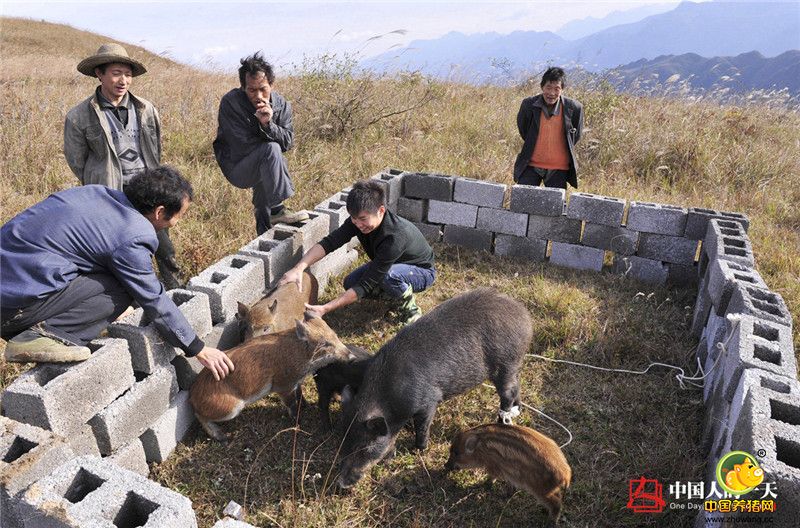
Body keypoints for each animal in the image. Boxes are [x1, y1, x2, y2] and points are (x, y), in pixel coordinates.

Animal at [191, 314, 354, 442]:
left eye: (335, 335)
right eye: (325, 344)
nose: (352, 357)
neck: (301, 355)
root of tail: (193, 397)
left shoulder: (296, 382)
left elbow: (300, 394)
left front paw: (305, 406)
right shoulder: (283, 385)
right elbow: (291, 403)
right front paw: (297, 423)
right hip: (230, 408)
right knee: (200, 416)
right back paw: (224, 438)